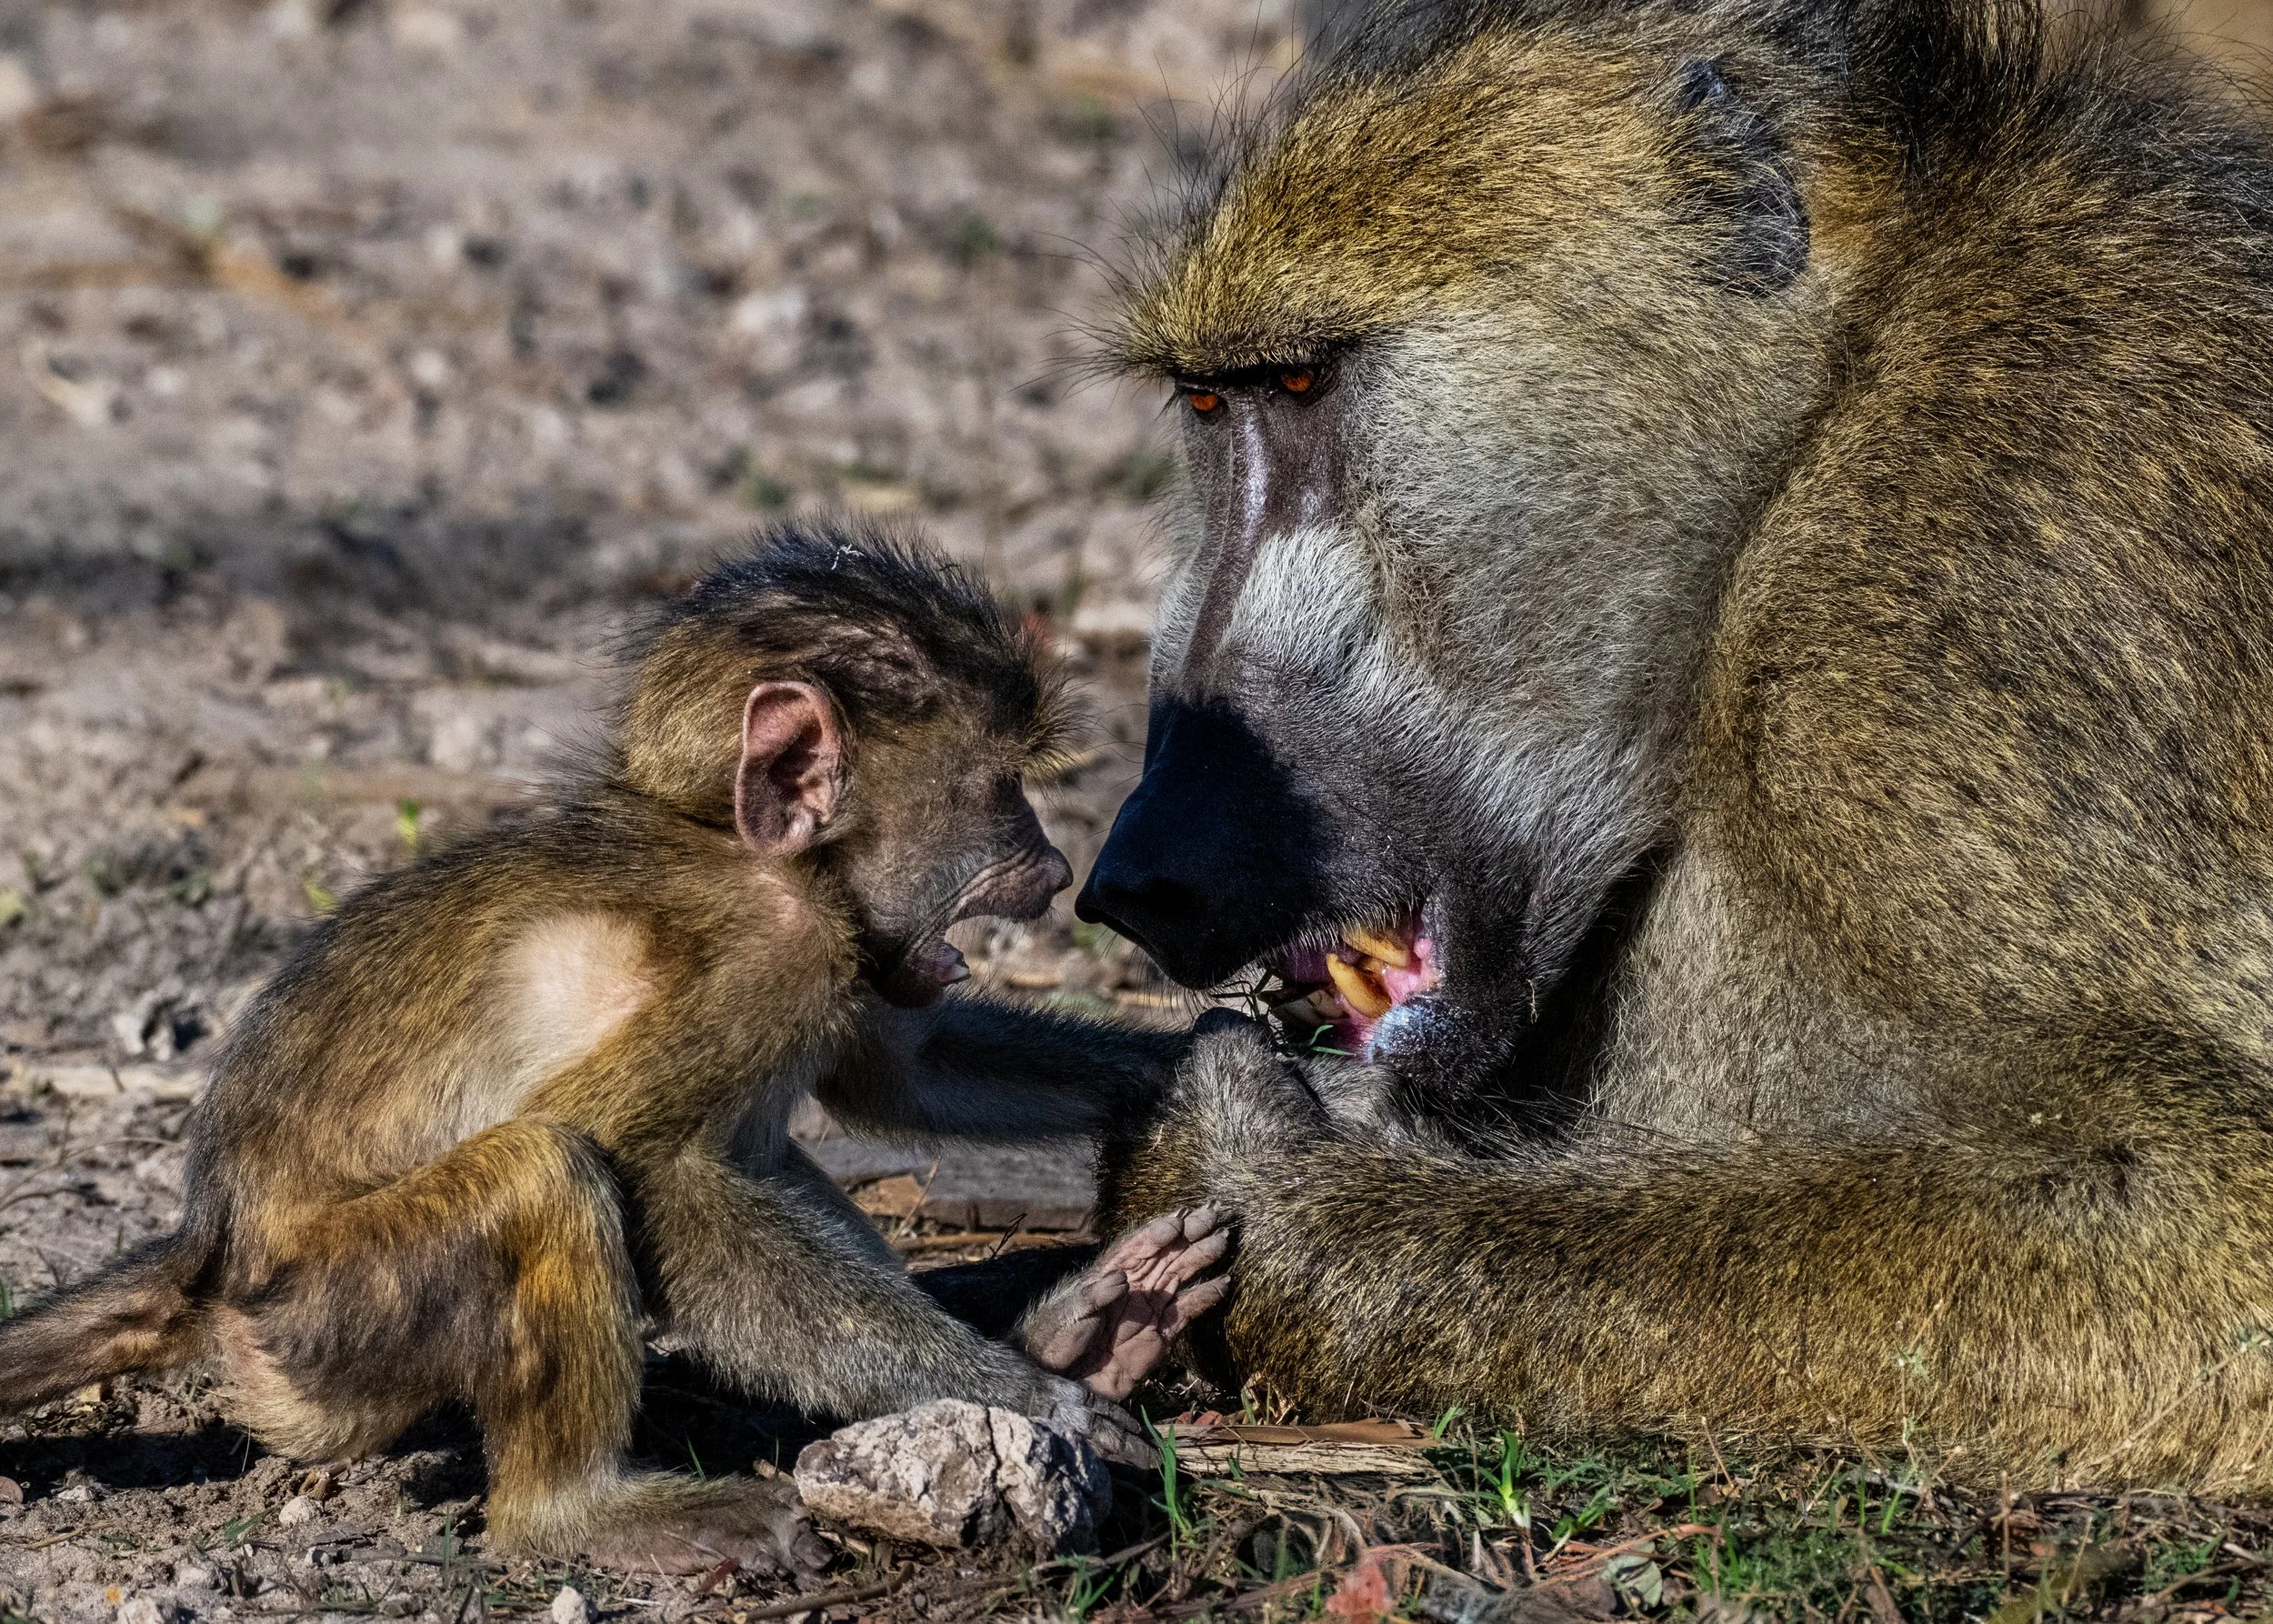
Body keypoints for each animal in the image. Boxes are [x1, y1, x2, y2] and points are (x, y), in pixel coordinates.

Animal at [0, 524, 1230, 1573]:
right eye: (1000, 791)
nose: (1054, 867)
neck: (751, 850)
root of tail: (217, 1256)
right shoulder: (777, 949)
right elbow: (649, 1168)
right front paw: (1031, 1395)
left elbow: (896, 1075)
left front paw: (1203, 1060)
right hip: (330, 1327)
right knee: (551, 1167)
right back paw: (573, 1513)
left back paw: (1082, 1330)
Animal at [1069, 0, 2273, 1489]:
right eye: (1204, 410)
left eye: (1296, 380)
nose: (1138, 874)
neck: (1812, 429)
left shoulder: (1946, 649)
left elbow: (2222, 1229)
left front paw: (1239, 1174)